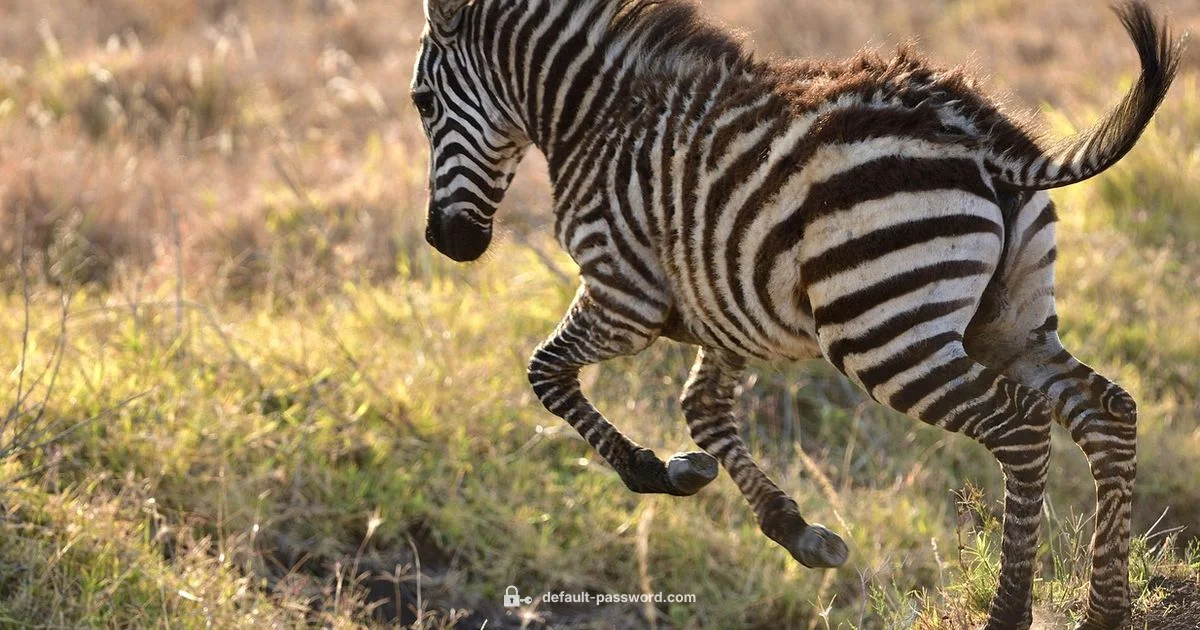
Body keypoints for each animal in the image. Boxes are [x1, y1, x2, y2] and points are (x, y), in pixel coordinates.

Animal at [410, 0, 1184, 627]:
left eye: (421, 101)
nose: (446, 243)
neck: (597, 115)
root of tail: (980, 137)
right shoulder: (724, 304)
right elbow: (703, 411)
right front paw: (786, 526)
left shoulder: (623, 292)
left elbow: (545, 373)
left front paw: (646, 470)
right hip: (1010, 322)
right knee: (1107, 414)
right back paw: (1106, 609)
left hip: (884, 331)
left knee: (1021, 430)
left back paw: (1009, 613)